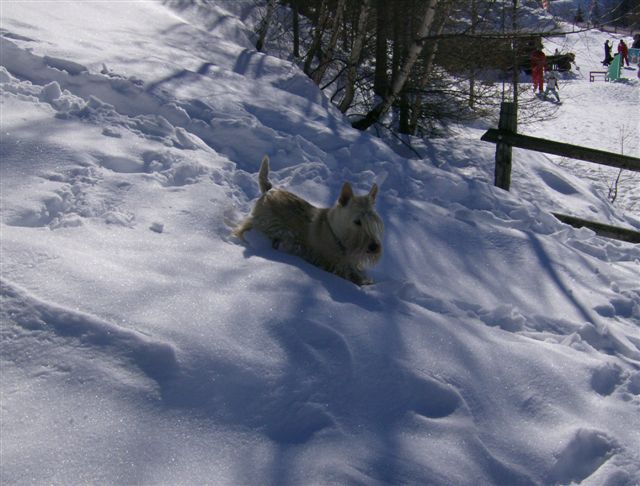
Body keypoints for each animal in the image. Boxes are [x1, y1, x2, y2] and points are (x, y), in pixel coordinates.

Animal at [235, 156, 384, 284]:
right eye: (357, 221)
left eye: (374, 221)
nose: (374, 247)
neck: (336, 234)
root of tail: (269, 190)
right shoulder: (334, 265)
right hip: (264, 224)